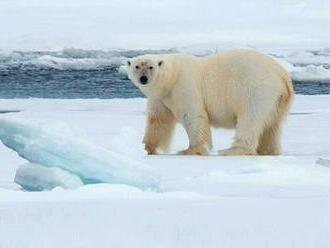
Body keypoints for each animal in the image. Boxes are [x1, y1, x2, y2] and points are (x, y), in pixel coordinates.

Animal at [127, 49, 294, 155]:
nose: (143, 78)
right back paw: (268, 150)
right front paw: (146, 147)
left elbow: (192, 115)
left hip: (256, 89)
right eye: (137, 66)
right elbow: (157, 120)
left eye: (151, 67)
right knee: (271, 126)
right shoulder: (161, 97)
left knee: (250, 119)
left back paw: (232, 150)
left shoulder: (185, 85)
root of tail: (283, 75)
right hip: (278, 101)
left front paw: (190, 150)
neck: (172, 77)